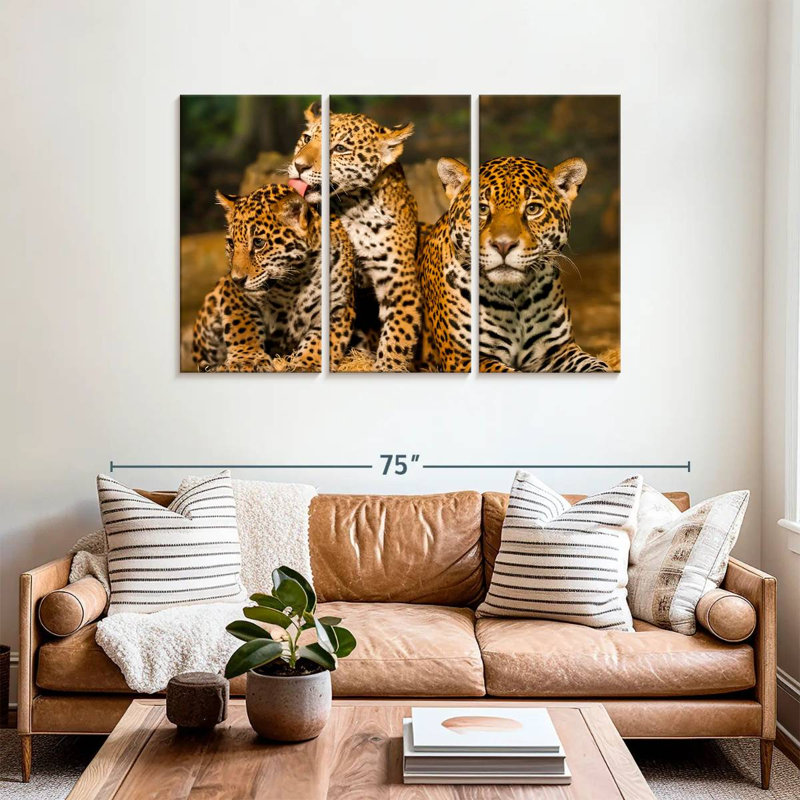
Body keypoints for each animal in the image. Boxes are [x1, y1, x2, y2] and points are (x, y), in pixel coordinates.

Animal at [192, 184, 355, 373]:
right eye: (231, 244)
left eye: (258, 243)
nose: (237, 280)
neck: (294, 281)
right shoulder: (233, 293)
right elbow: (242, 326)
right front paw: (247, 360)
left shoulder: (338, 306)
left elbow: (321, 341)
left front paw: (306, 364)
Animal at [287, 104, 421, 372]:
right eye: (306, 139)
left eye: (340, 149)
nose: (298, 166)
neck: (353, 207)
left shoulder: (401, 286)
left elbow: (397, 338)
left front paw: (386, 367)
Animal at [477, 156, 611, 373]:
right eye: (482, 209)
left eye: (533, 209)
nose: (503, 245)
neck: (516, 296)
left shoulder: (558, 351)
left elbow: (595, 364)